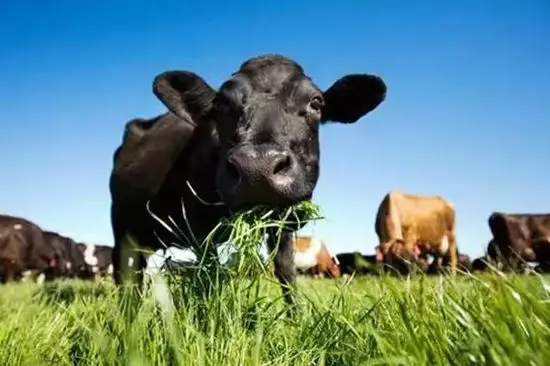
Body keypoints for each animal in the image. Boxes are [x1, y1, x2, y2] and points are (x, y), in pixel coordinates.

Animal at [111, 53, 388, 310]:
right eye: (221, 105)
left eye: (316, 102)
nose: (257, 167)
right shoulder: (198, 229)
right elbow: (209, 272)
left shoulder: (283, 222)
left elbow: (285, 270)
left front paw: (297, 317)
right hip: (123, 230)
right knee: (126, 275)